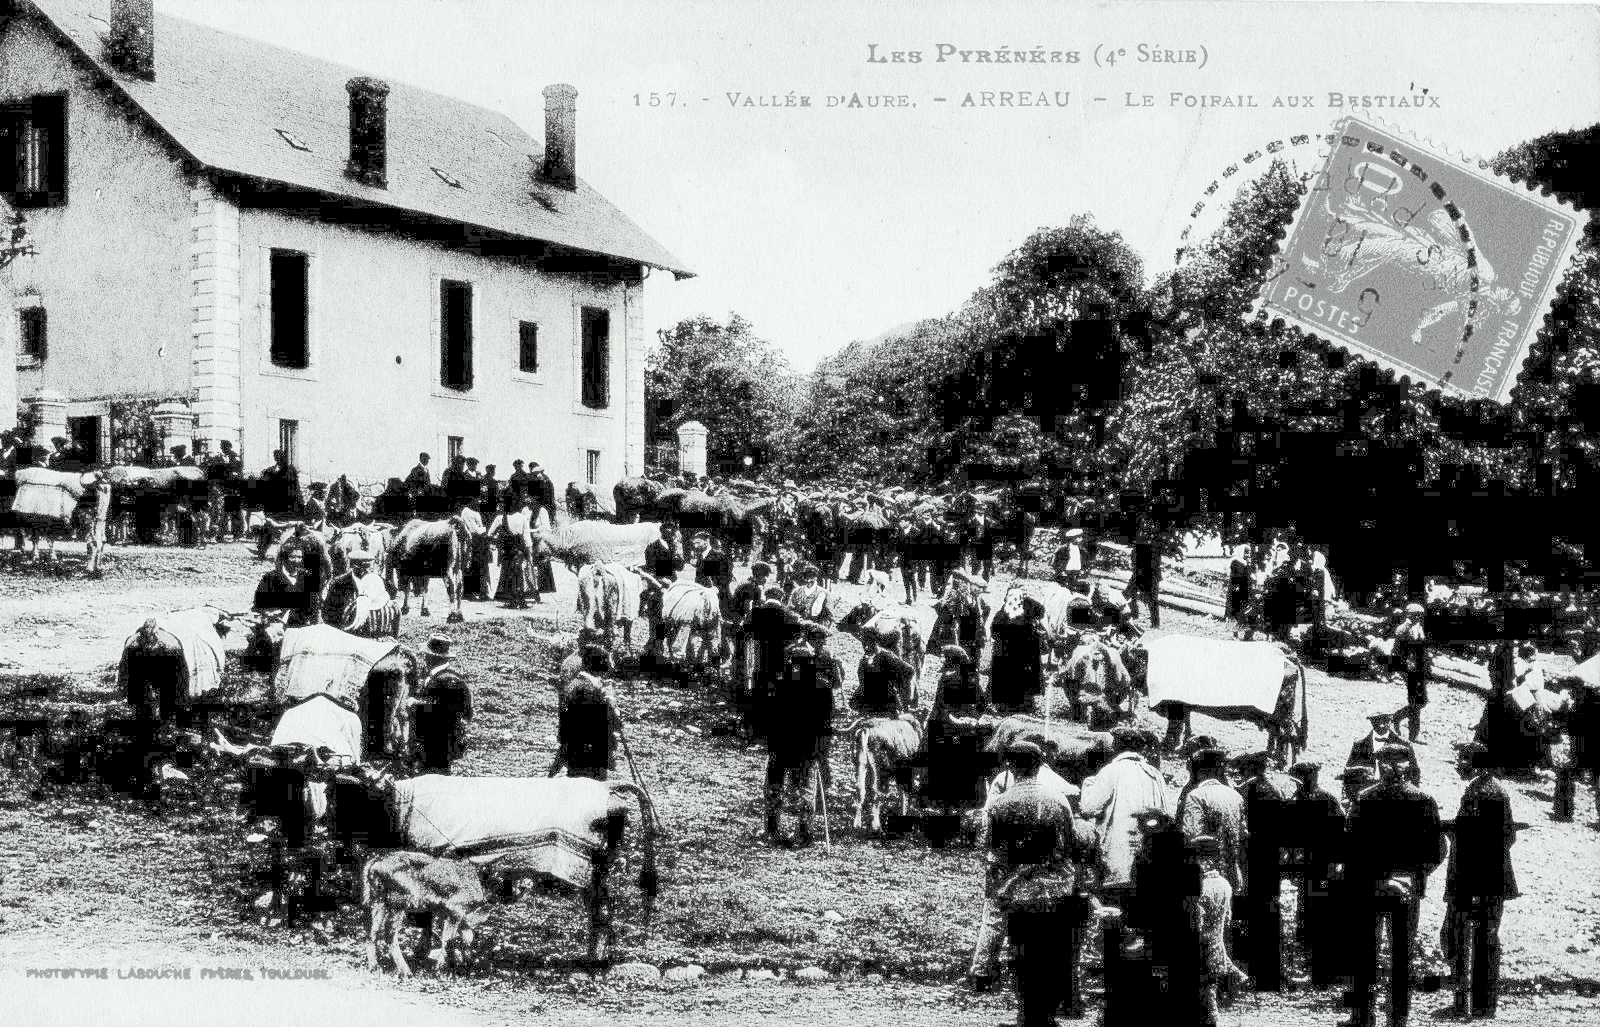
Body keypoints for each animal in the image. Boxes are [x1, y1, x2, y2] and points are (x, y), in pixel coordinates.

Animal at [363, 844, 486, 972]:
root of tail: (375, 864)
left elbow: (464, 936)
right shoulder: (455, 910)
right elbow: (449, 939)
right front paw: (440, 968)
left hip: (379, 902)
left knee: (372, 931)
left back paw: (374, 967)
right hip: (399, 904)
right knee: (389, 933)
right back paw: (406, 971)